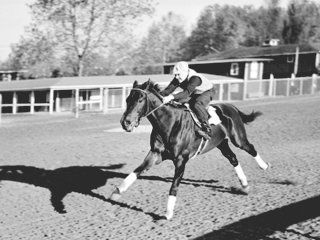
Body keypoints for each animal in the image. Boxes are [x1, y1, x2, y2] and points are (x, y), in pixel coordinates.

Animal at [110, 79, 270, 219]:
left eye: (140, 100)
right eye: (127, 99)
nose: (126, 122)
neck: (170, 123)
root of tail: (231, 107)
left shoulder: (181, 160)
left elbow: (174, 186)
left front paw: (168, 212)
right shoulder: (155, 153)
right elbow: (137, 170)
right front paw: (117, 191)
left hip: (238, 138)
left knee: (250, 148)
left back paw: (265, 166)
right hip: (221, 143)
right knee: (233, 158)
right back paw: (244, 185)